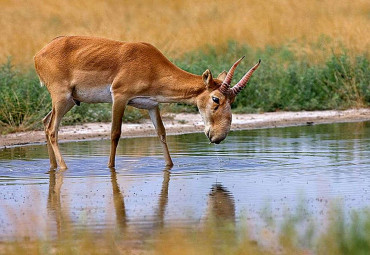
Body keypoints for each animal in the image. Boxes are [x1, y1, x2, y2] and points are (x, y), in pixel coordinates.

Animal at [34, 35, 260, 170]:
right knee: (53, 129)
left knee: (45, 123)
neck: (152, 66)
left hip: (71, 100)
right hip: (61, 97)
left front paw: (170, 165)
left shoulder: (151, 105)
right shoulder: (120, 97)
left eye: (233, 99)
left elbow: (161, 133)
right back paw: (64, 167)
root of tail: (39, 54)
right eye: (216, 98)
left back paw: (53, 167)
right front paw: (110, 167)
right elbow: (115, 133)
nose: (218, 137)